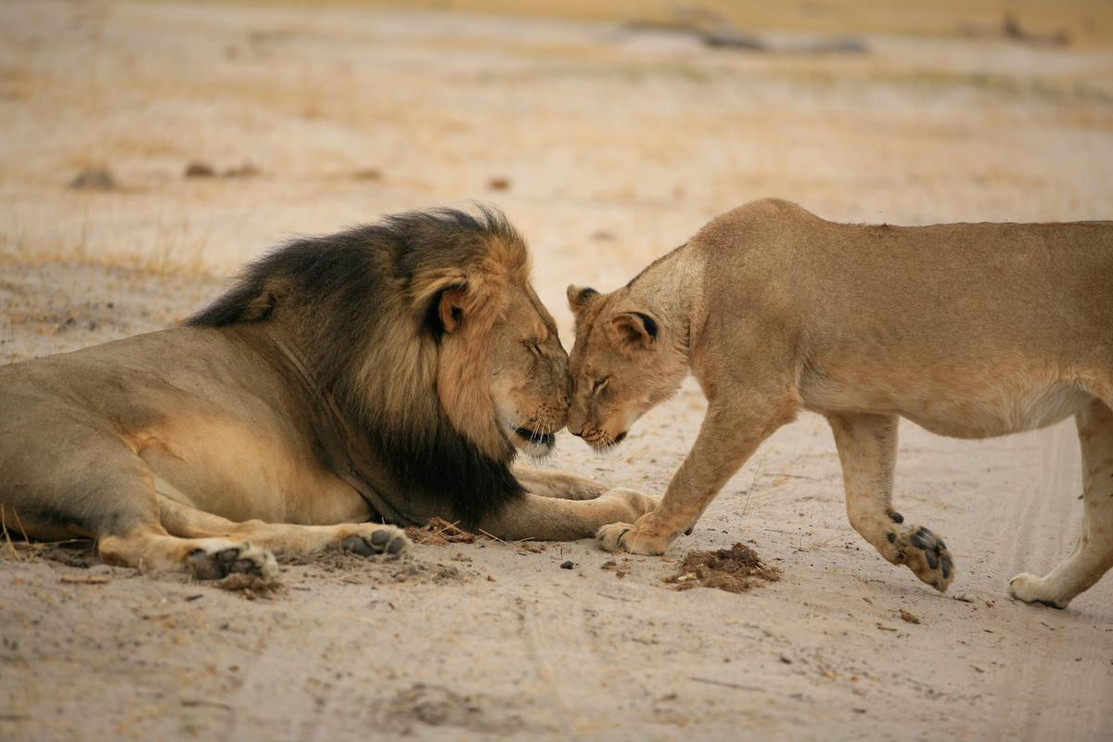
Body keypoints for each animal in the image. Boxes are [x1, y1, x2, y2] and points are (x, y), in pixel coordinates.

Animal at [0, 207, 655, 579]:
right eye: (536, 345)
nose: (576, 409)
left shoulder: (461, 466)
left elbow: (559, 480)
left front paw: (620, 488)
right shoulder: (458, 505)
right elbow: (578, 509)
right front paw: (628, 506)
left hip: (143, 478)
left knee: (237, 525)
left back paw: (351, 543)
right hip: (92, 456)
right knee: (126, 540)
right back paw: (218, 563)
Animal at [566, 198, 1113, 608]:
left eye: (599, 383)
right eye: (573, 379)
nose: (574, 431)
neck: (699, 285)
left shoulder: (754, 398)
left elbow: (691, 475)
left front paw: (642, 533)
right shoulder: (860, 411)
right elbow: (864, 506)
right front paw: (923, 553)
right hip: (1097, 416)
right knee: (1103, 530)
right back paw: (1044, 592)